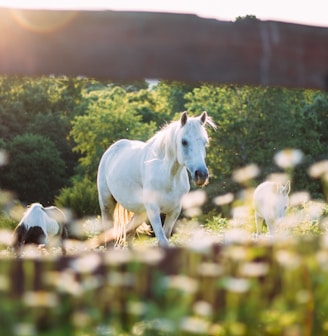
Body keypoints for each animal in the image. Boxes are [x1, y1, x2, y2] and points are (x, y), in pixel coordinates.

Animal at [96, 111, 217, 245]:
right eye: (184, 142)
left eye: (205, 142)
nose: (201, 174)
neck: (168, 177)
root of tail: (111, 149)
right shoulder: (153, 210)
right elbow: (163, 241)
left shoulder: (174, 211)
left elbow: (165, 237)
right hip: (107, 205)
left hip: (140, 213)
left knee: (129, 233)